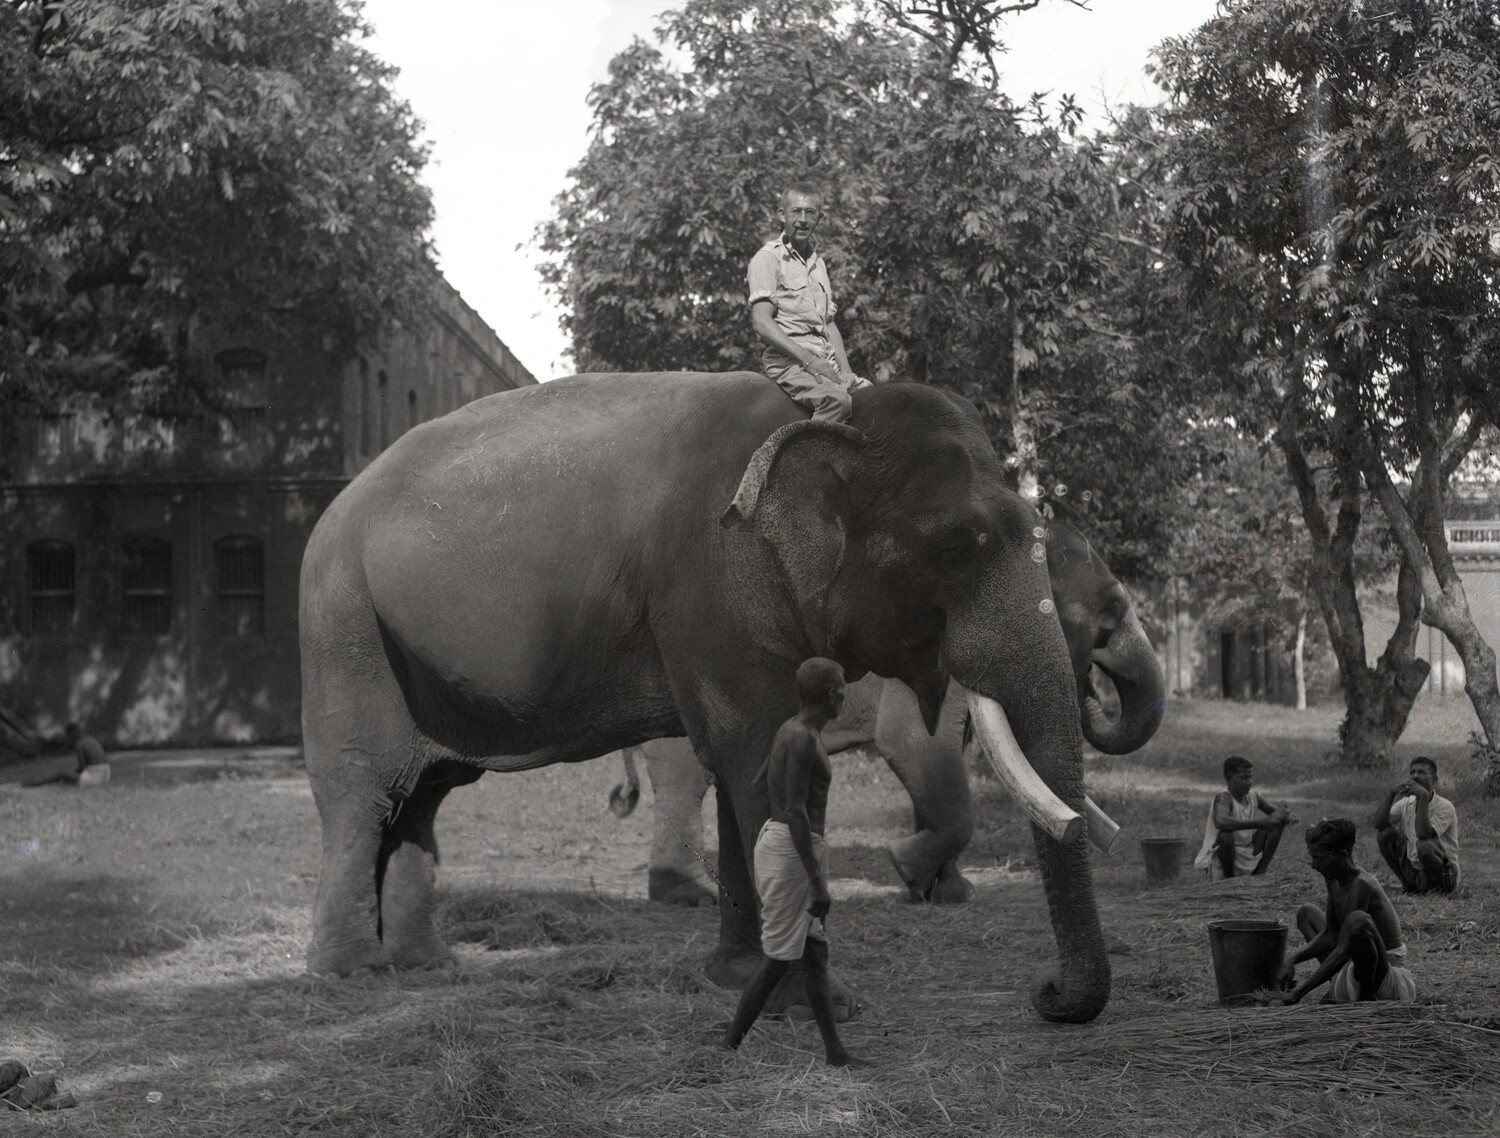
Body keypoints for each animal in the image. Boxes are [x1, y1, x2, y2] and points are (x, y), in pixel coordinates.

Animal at [610, 518, 1163, 907]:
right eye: (1109, 613)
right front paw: (904, 866)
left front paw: (947, 894)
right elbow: (915, 743)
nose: (1090, 683)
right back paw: (689, 896)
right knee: (683, 773)